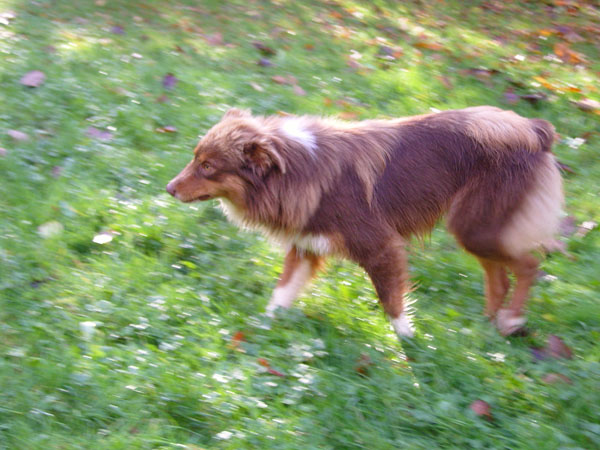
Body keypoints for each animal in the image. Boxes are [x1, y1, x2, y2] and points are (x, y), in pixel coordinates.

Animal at [166, 106, 563, 338]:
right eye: (195, 158)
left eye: (208, 167)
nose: (168, 188)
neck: (295, 171)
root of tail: (534, 128)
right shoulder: (306, 248)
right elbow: (279, 296)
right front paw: (257, 331)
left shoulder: (380, 247)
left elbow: (392, 303)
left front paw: (410, 345)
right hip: (477, 229)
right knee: (499, 277)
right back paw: (486, 327)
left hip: (477, 227)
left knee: (529, 264)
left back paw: (511, 320)